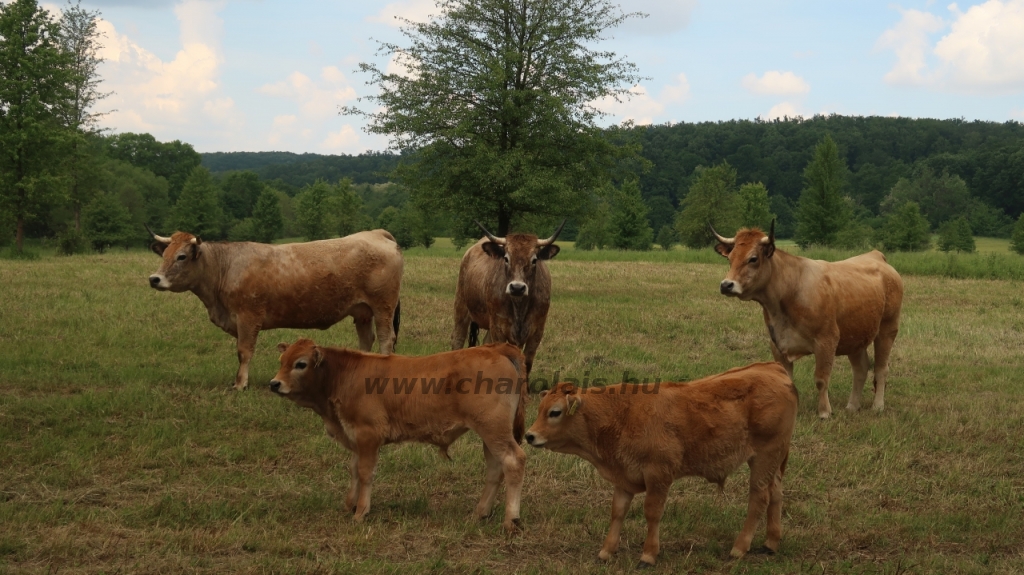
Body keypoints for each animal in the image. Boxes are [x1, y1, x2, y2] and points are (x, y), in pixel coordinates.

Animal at [148, 227, 403, 388]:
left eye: (181, 256)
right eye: (165, 254)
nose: (154, 279)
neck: (225, 267)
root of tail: (376, 233)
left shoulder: (248, 317)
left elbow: (244, 352)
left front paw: (240, 384)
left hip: (383, 306)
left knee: (385, 339)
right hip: (362, 311)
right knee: (366, 339)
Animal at [270, 337, 528, 532]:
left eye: (300, 364)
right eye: (282, 361)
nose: (274, 383)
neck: (344, 375)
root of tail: (496, 348)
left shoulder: (368, 435)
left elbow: (365, 473)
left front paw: (361, 511)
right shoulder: (355, 437)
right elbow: (354, 469)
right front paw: (350, 504)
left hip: (493, 429)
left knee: (513, 461)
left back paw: (510, 520)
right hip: (491, 434)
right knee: (495, 468)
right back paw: (480, 513)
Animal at [450, 218, 565, 376]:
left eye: (534, 260)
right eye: (506, 258)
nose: (517, 287)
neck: (519, 308)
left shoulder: (536, 332)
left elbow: (526, 365)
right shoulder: (498, 328)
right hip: (461, 307)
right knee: (457, 340)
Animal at [524, 362, 794, 564]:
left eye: (555, 412)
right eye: (539, 409)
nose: (529, 435)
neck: (622, 414)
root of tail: (772, 368)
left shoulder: (658, 475)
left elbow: (652, 513)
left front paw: (648, 555)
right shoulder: (623, 476)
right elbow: (617, 512)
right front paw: (606, 551)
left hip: (764, 457)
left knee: (759, 498)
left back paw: (739, 548)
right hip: (771, 462)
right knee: (776, 493)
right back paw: (771, 543)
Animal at [712, 218, 905, 415]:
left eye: (753, 258)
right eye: (730, 258)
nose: (726, 285)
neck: (790, 290)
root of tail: (875, 255)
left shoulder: (827, 340)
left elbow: (821, 379)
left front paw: (825, 412)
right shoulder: (777, 344)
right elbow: (786, 381)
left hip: (887, 329)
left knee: (881, 368)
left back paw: (878, 406)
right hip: (856, 335)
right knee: (861, 368)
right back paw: (852, 406)